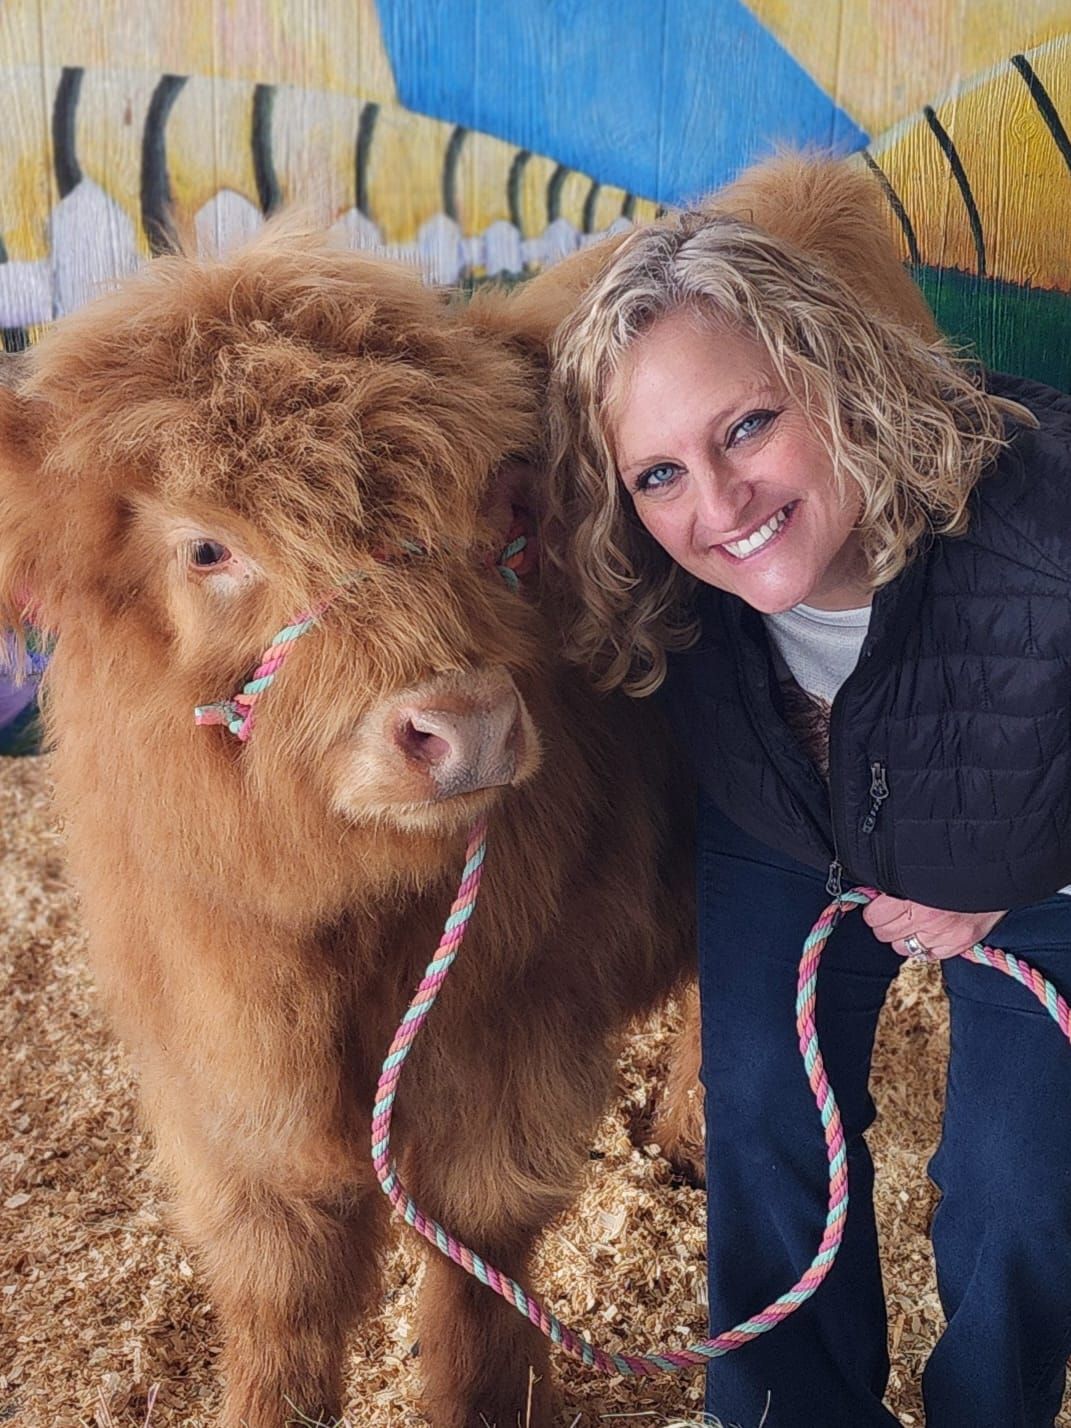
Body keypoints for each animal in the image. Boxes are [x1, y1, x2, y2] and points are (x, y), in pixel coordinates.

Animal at [0, 237, 696, 1428]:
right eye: (206, 549)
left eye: (490, 503)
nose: (465, 723)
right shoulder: (221, 1089)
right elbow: (282, 1294)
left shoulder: (507, 1050)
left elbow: (480, 1273)